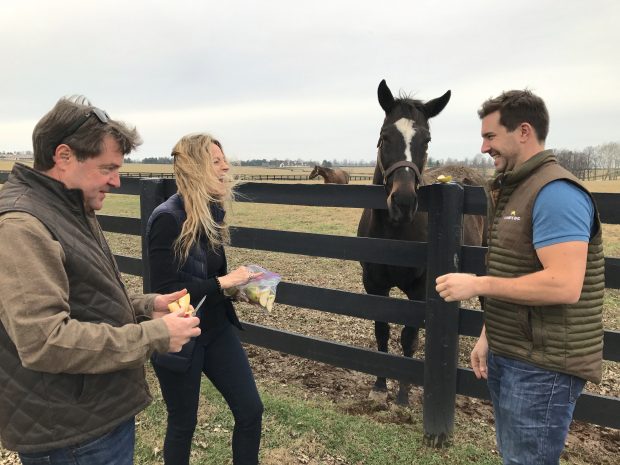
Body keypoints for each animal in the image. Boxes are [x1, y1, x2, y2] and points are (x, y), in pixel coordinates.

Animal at [356, 80, 486, 406]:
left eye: (426, 140)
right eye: (384, 136)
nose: (403, 201)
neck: (394, 232)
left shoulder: (418, 289)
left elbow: (408, 337)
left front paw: (402, 394)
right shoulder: (374, 284)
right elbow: (382, 331)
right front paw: (380, 386)